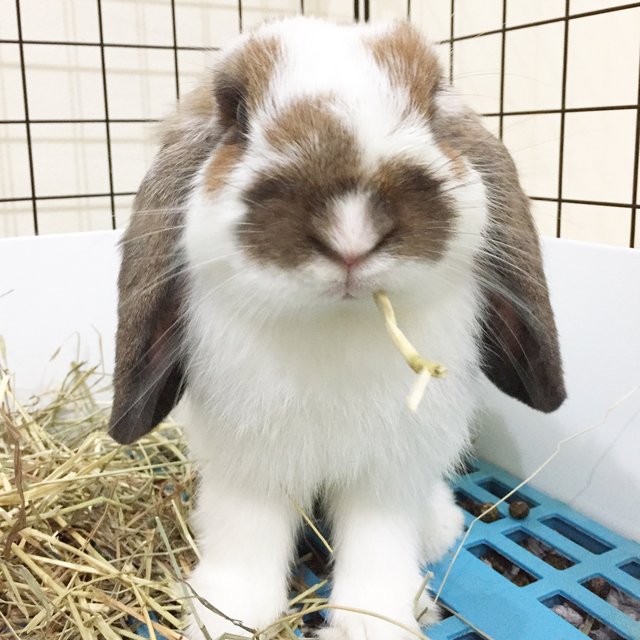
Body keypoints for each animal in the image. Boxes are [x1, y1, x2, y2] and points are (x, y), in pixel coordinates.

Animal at [109, 15, 564, 640]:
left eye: (432, 103)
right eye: (235, 110)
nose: (351, 230)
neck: (336, 326)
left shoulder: (388, 476)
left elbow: (377, 549)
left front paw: (378, 623)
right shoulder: (251, 469)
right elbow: (247, 541)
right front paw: (225, 618)